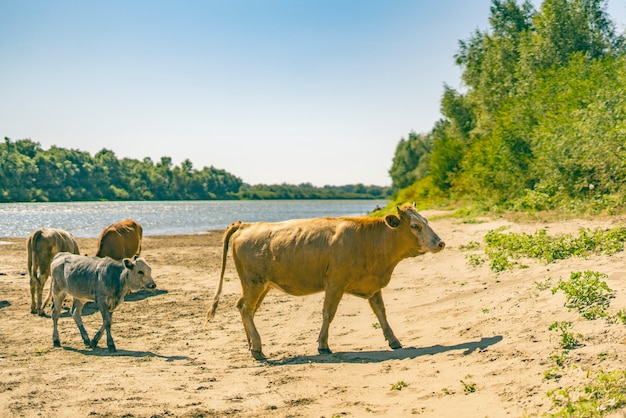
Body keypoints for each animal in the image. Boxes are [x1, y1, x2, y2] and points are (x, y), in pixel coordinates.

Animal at [206, 202, 444, 360]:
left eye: (426, 221)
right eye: (414, 226)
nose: (440, 243)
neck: (369, 241)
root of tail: (246, 225)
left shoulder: (373, 284)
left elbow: (381, 312)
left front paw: (393, 340)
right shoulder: (335, 283)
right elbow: (328, 313)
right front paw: (322, 345)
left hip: (260, 285)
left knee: (246, 309)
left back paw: (250, 344)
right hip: (254, 282)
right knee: (246, 309)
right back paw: (257, 348)